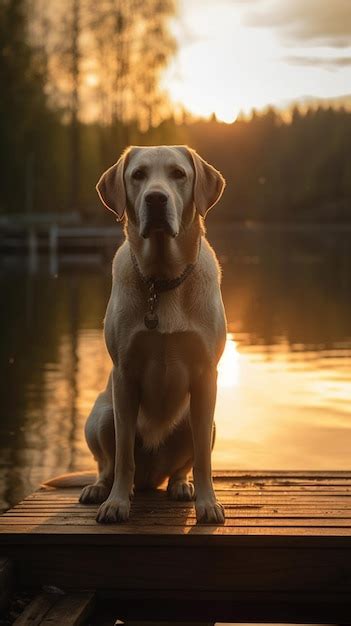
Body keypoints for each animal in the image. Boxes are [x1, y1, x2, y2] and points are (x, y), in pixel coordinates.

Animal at [47, 146, 228, 520]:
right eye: (138, 175)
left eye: (178, 174)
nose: (156, 199)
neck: (161, 281)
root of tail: (151, 478)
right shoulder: (124, 375)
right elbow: (123, 457)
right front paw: (116, 502)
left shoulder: (207, 376)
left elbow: (203, 459)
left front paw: (208, 503)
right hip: (102, 416)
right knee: (108, 463)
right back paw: (101, 488)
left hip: (202, 422)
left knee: (181, 466)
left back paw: (180, 486)